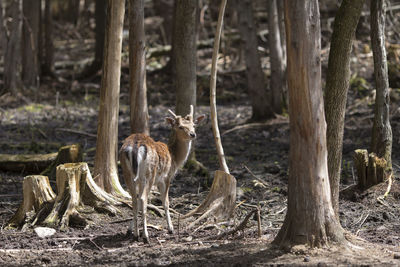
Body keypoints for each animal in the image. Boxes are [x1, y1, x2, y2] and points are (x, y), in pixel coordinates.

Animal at [119, 105, 205, 244]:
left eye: (193, 125)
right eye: (180, 126)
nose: (193, 134)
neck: (174, 157)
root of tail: (135, 146)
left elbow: (138, 201)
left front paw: (129, 230)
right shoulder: (166, 177)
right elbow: (166, 202)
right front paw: (171, 229)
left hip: (128, 173)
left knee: (134, 199)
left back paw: (136, 235)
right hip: (150, 174)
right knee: (143, 199)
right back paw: (146, 236)